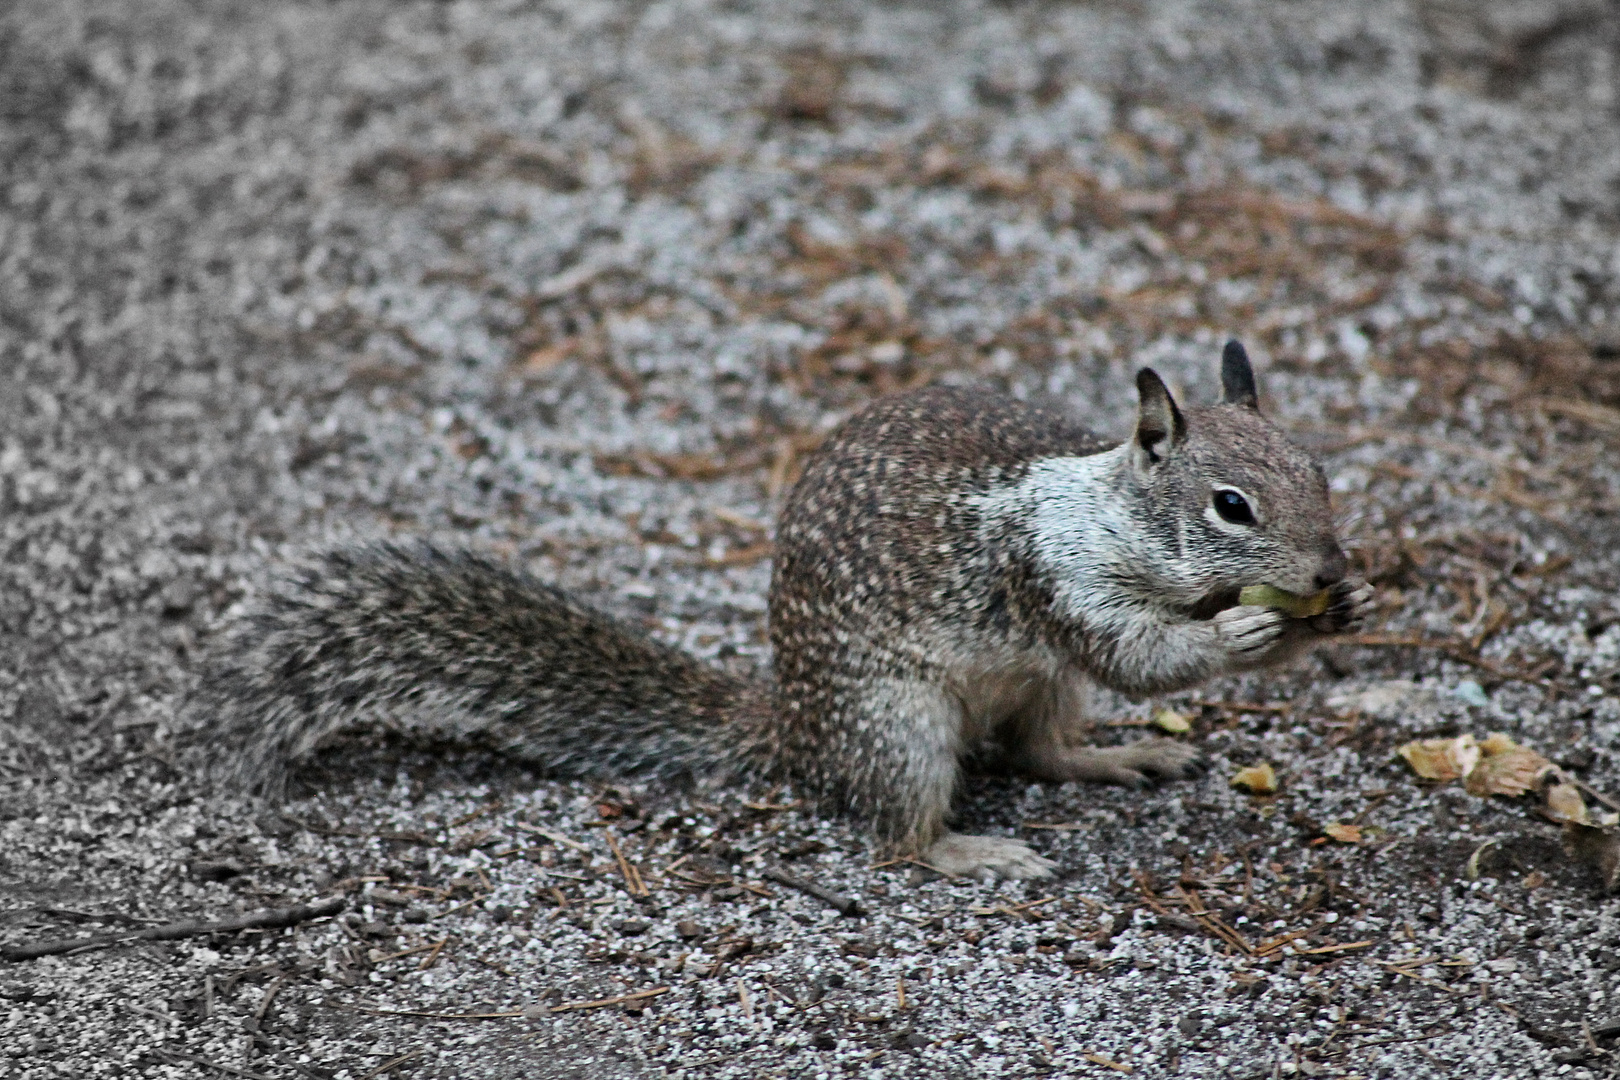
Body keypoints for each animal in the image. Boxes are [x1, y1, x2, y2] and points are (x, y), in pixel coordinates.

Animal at [196, 341, 1373, 880]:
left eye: (1321, 471)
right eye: (1231, 505)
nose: (1324, 566)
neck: (1117, 512)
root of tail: (795, 727)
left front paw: (1338, 610)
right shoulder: (1056, 577)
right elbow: (1137, 653)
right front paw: (1244, 629)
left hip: (1035, 685)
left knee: (1040, 751)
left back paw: (1119, 756)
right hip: (898, 724)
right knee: (900, 834)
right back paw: (967, 851)